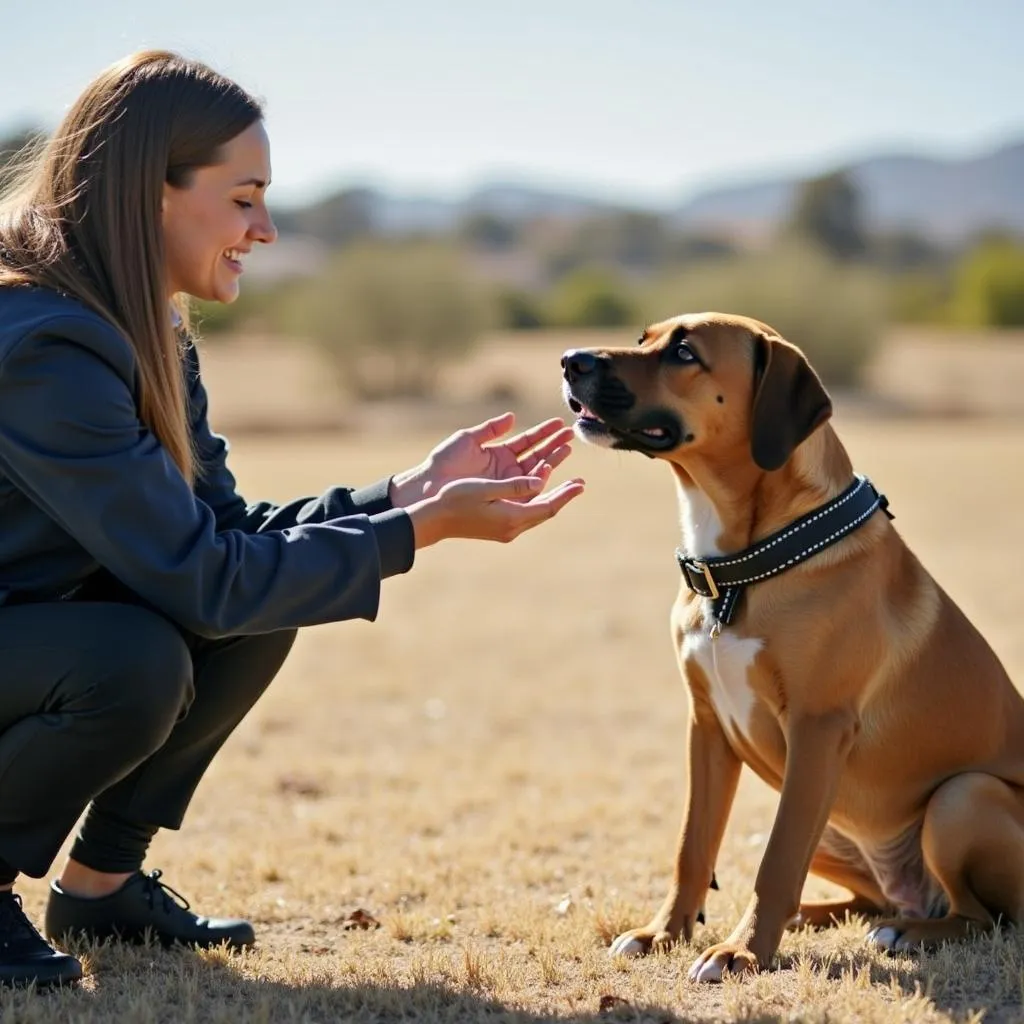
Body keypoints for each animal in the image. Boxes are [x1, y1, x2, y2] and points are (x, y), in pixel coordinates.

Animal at [565, 313, 1024, 983]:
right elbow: (691, 849)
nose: (571, 361)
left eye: (684, 352)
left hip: (958, 797)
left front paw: (740, 951)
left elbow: (776, 861)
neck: (738, 570)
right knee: (871, 898)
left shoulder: (816, 728)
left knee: (981, 916)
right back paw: (822, 915)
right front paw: (663, 933)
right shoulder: (708, 727)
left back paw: (908, 933)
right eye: (643, 338)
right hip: (824, 810)